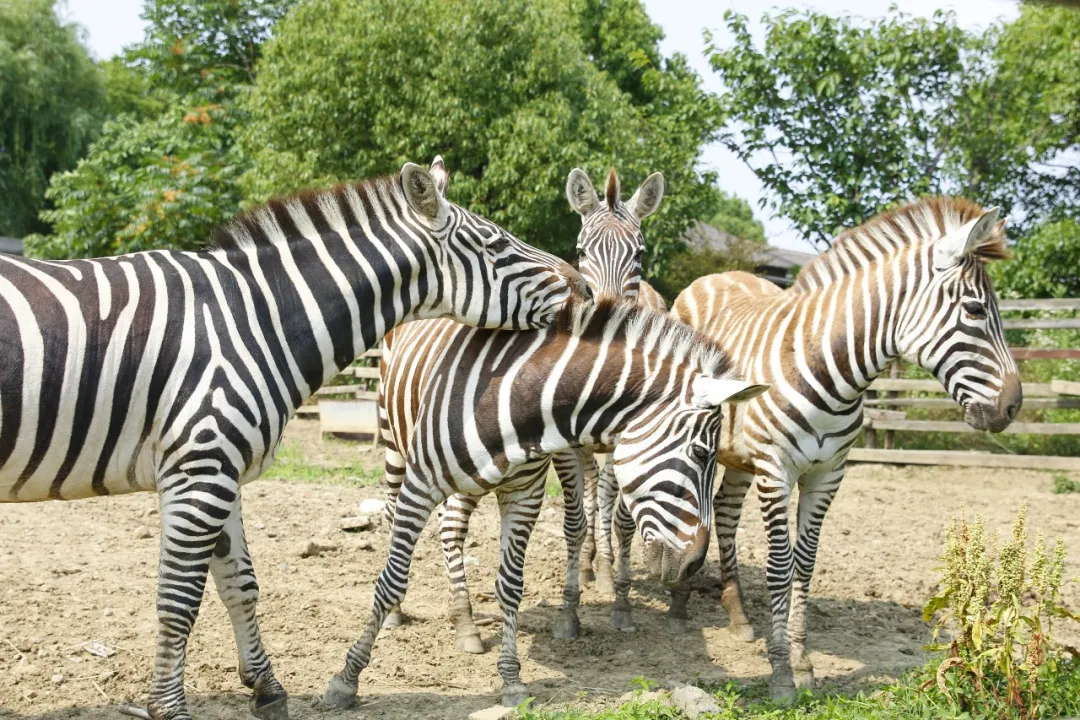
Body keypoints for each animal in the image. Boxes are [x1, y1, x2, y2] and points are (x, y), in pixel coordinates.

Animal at [0, 157, 587, 720]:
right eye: (496, 244)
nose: (583, 287)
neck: (256, 320)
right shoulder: (201, 466)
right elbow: (179, 598)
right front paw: (168, 708)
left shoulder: (221, 468)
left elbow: (239, 583)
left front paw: (265, 688)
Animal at [319, 297, 768, 708]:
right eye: (701, 453)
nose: (693, 566)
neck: (519, 400)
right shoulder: (421, 484)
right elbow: (392, 578)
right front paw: (347, 678)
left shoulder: (525, 494)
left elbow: (510, 586)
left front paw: (511, 679)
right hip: (393, 445)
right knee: (395, 519)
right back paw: (400, 615)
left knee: (452, 529)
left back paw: (465, 623)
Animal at [378, 167, 665, 647]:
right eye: (581, 250)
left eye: (639, 253)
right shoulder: (562, 448)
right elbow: (573, 523)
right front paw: (569, 615)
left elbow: (619, 520)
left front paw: (621, 603)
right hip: (391, 436)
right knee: (394, 506)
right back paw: (402, 612)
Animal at [591, 195, 1019, 699]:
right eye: (975, 310)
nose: (1013, 406)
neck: (830, 368)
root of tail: (715, 275)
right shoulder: (777, 471)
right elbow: (780, 565)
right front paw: (781, 673)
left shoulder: (827, 475)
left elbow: (805, 565)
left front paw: (803, 661)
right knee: (624, 510)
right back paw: (635, 601)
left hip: (736, 457)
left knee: (723, 514)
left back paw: (727, 612)